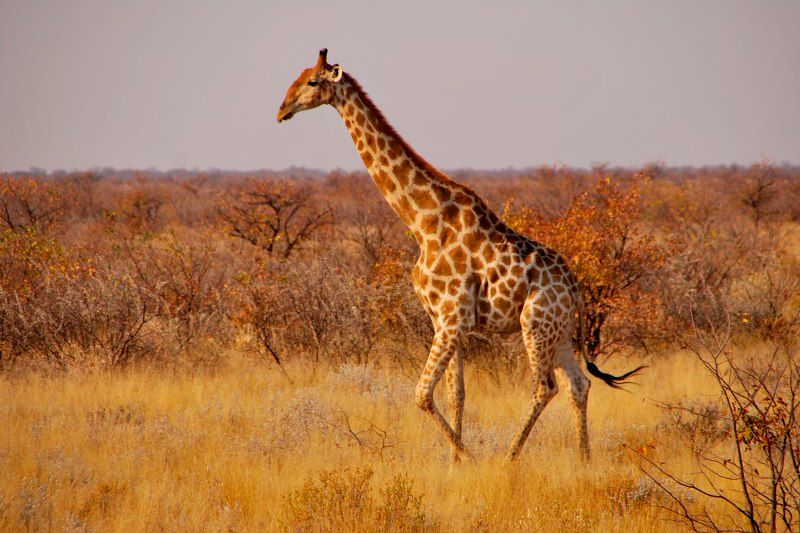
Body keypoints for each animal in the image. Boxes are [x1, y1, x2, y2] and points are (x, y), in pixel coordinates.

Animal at [276, 50, 644, 462]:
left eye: (312, 81)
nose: (281, 110)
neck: (422, 220)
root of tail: (576, 288)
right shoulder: (441, 319)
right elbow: (457, 394)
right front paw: (455, 462)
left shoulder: (452, 318)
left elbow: (422, 394)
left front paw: (467, 458)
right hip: (559, 331)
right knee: (578, 384)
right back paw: (583, 461)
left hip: (534, 324)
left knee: (545, 386)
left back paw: (510, 458)